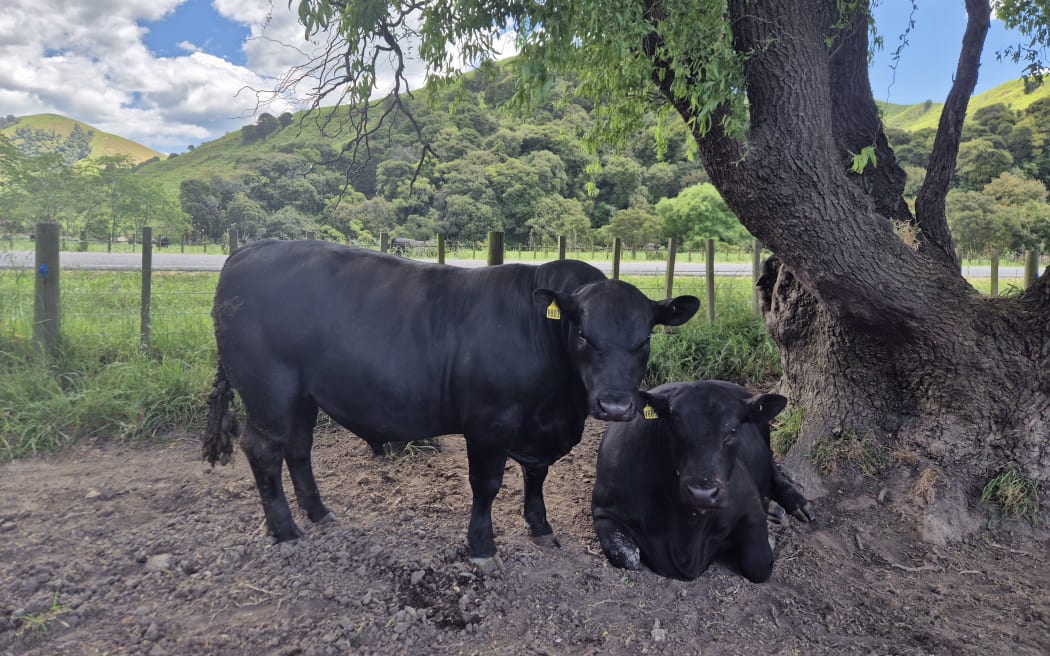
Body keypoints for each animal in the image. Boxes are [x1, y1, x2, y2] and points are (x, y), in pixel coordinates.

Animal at [203, 239, 700, 572]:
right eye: (582, 333)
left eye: (645, 338)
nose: (614, 406)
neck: (562, 402)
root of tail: (249, 249)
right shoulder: (490, 420)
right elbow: (487, 484)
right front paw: (482, 547)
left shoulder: (540, 428)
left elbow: (536, 476)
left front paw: (540, 528)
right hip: (269, 390)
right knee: (264, 451)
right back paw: (286, 532)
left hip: (302, 395)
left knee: (298, 448)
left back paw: (319, 513)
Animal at [591, 380, 815, 582]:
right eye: (675, 427)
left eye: (732, 431)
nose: (702, 493)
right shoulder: (604, 510)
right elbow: (628, 557)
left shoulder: (749, 505)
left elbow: (758, 565)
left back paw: (797, 504)